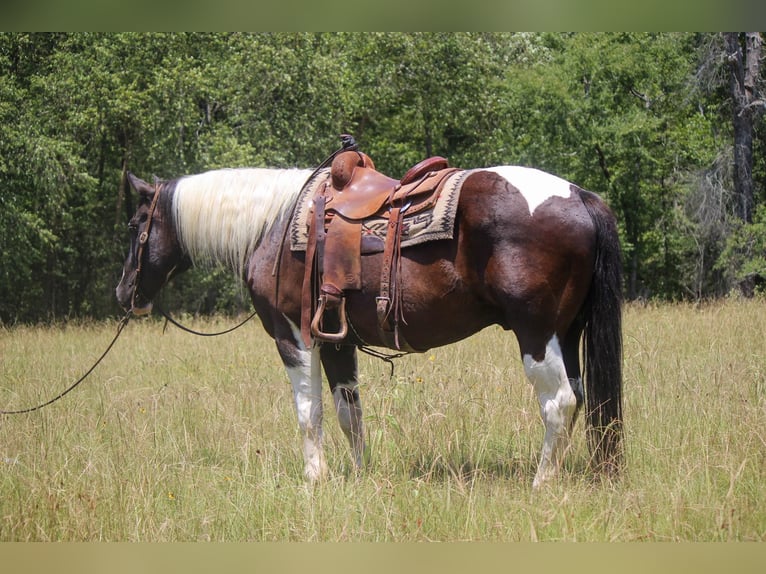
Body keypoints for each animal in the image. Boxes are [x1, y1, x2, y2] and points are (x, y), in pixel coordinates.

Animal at [117, 159, 628, 490]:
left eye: (136, 224)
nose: (124, 293)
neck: (274, 226)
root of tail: (580, 196)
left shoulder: (294, 336)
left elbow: (309, 412)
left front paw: (315, 478)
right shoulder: (337, 342)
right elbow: (350, 413)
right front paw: (361, 476)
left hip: (536, 333)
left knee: (559, 402)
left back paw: (542, 483)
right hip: (567, 332)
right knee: (579, 396)